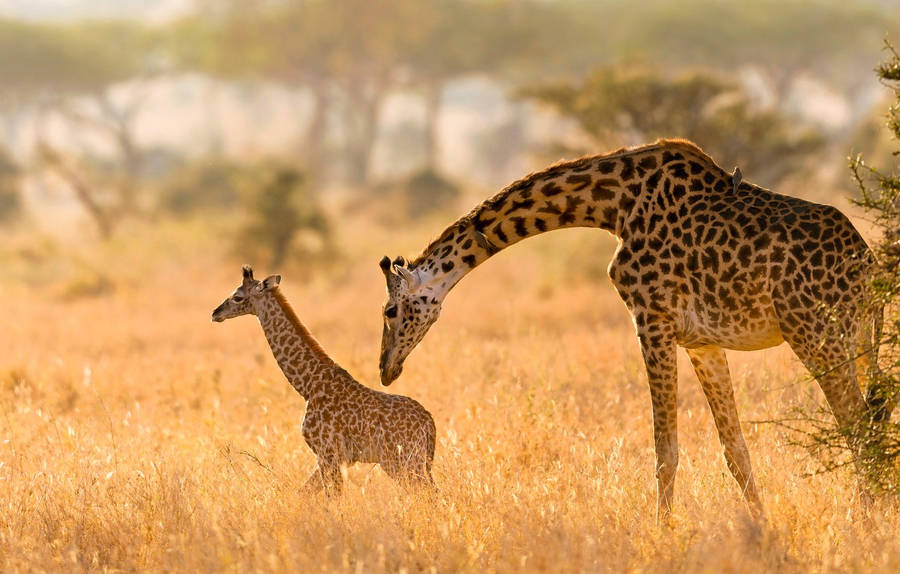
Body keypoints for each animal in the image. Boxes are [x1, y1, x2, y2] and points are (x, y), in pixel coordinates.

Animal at [212, 266, 436, 496]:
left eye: (237, 297)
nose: (216, 313)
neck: (308, 385)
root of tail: (429, 423)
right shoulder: (329, 458)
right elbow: (304, 494)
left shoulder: (329, 453)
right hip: (413, 462)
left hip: (402, 461)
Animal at [376, 138, 884, 516]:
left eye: (389, 311)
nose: (385, 368)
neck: (612, 206)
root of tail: (867, 265)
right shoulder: (701, 341)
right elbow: (735, 451)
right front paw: (761, 529)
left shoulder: (651, 320)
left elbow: (665, 451)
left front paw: (664, 533)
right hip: (855, 340)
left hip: (816, 334)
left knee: (859, 425)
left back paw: (864, 518)